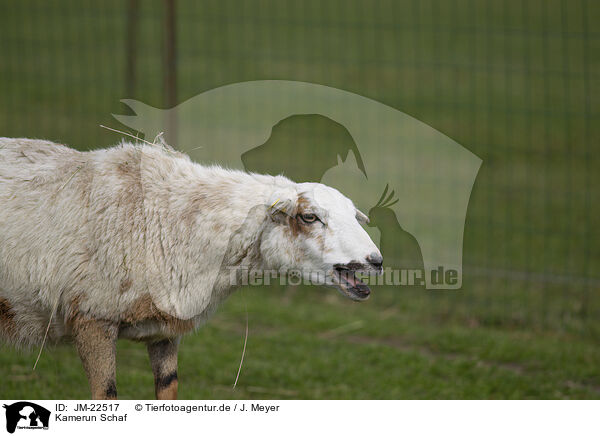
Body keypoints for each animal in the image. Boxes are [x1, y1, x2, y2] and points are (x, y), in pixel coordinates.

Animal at [0, 138, 382, 400]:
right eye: (309, 217)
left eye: (353, 214)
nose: (376, 261)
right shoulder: (93, 316)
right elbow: (105, 395)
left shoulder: (164, 330)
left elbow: (168, 391)